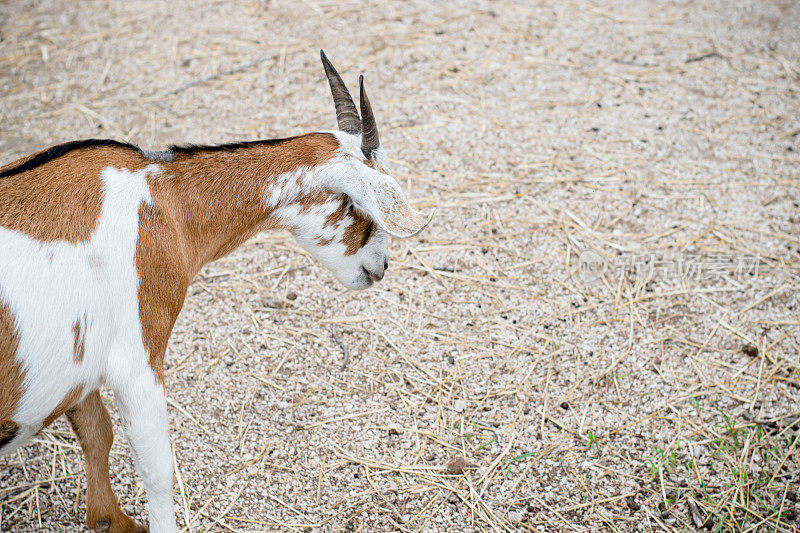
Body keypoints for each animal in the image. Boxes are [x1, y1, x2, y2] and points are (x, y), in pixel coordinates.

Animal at [0, 51, 432, 532]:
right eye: (360, 206)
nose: (381, 266)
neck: (166, 200)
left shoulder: (79, 373)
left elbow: (97, 435)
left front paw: (111, 519)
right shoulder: (137, 360)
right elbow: (157, 468)